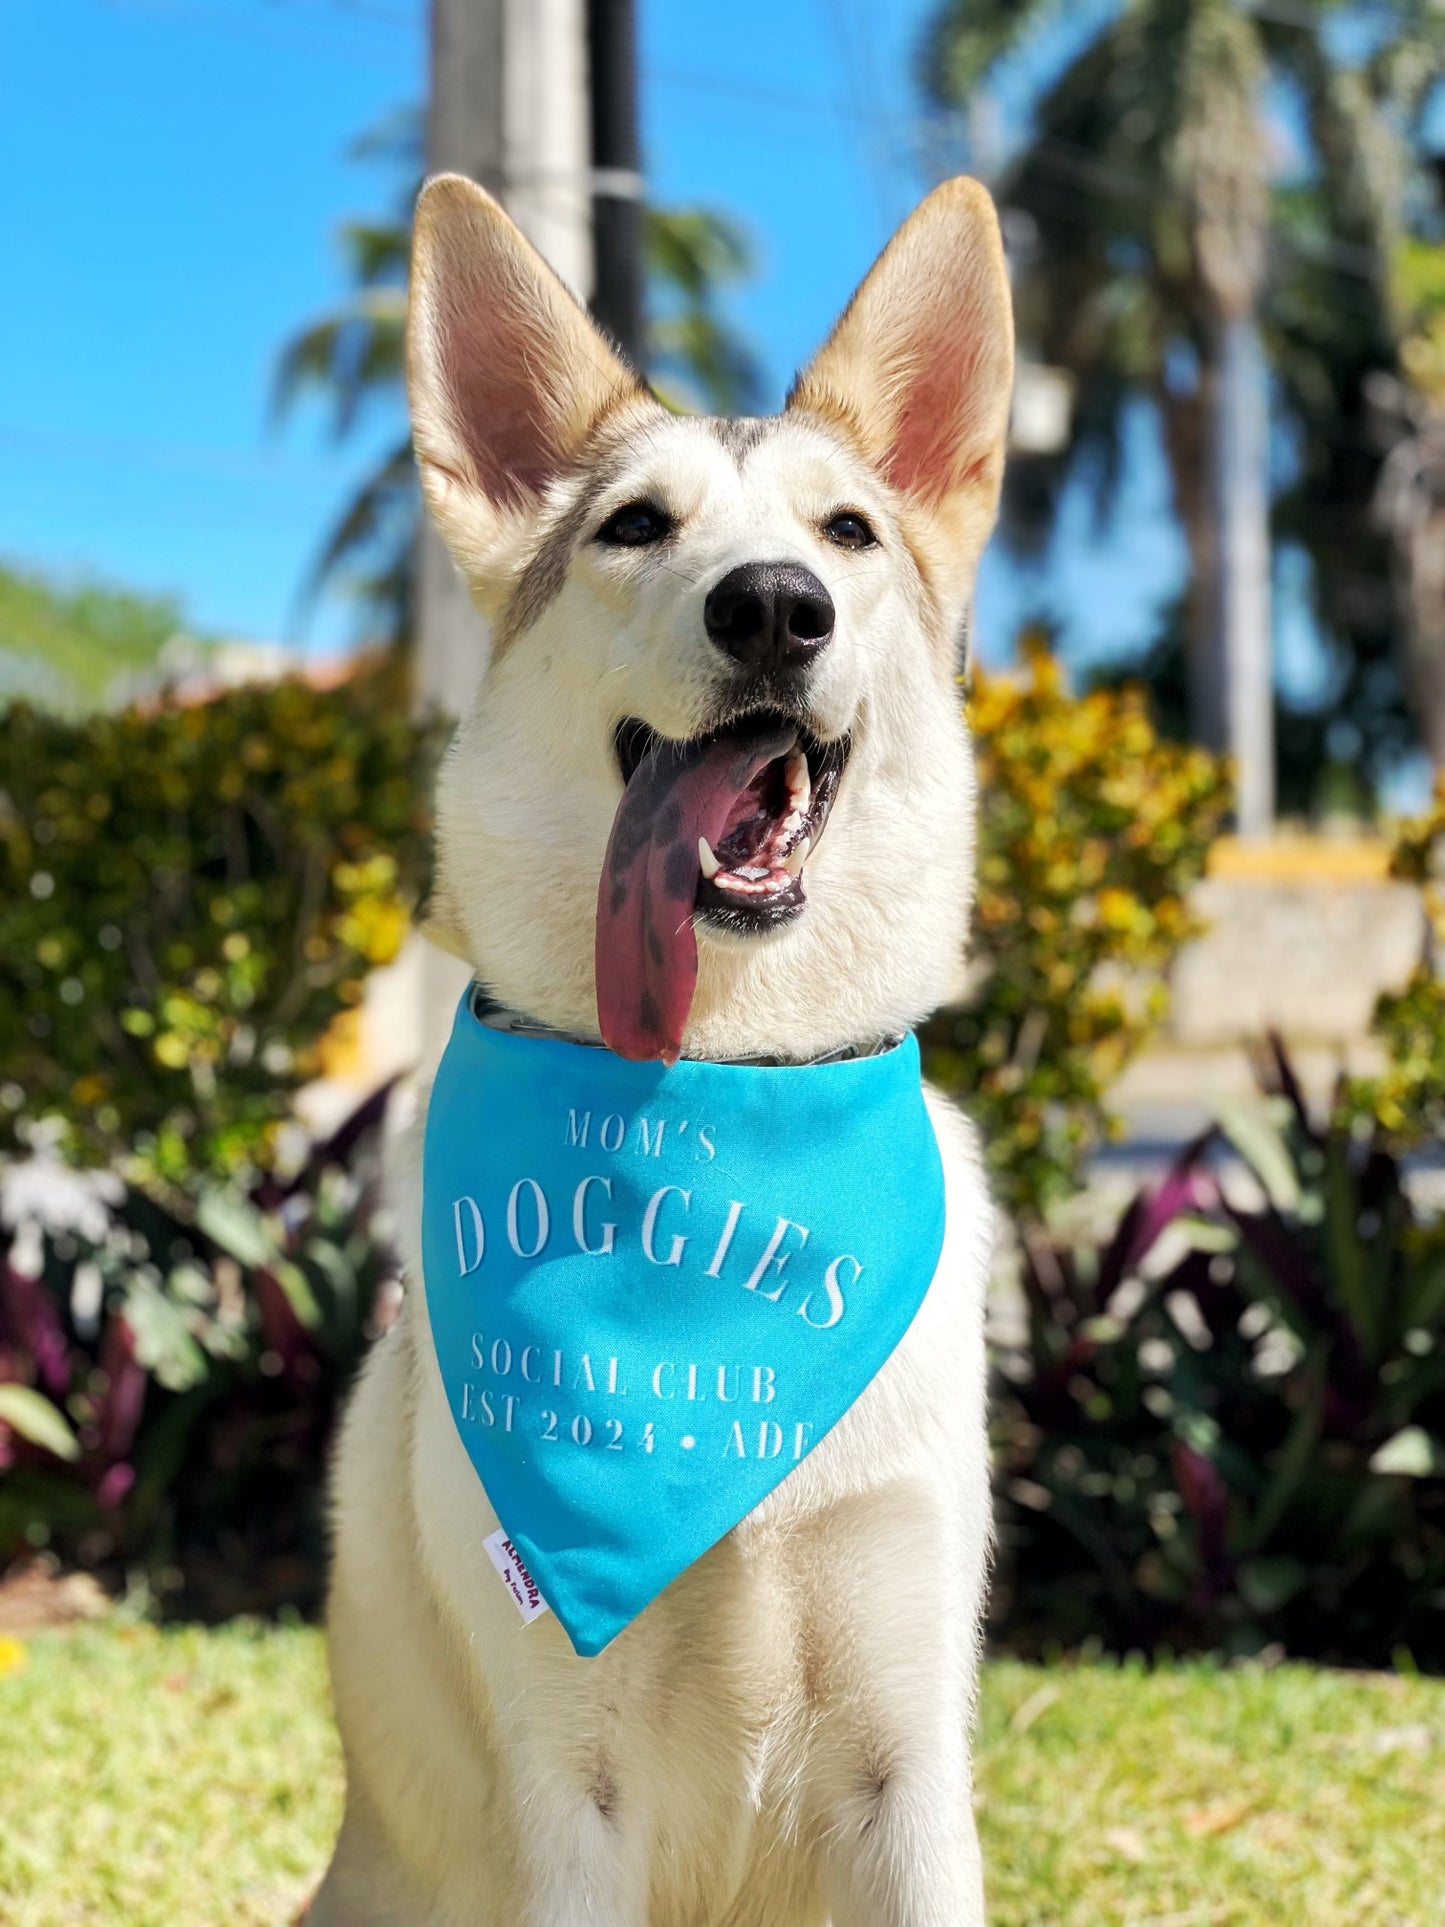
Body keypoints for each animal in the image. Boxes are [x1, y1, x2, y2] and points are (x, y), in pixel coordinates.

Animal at [314, 169, 1017, 1927]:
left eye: (846, 533)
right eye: (635, 525)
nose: (773, 604)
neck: (721, 1085)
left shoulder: (910, 1758)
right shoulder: (574, 1790)